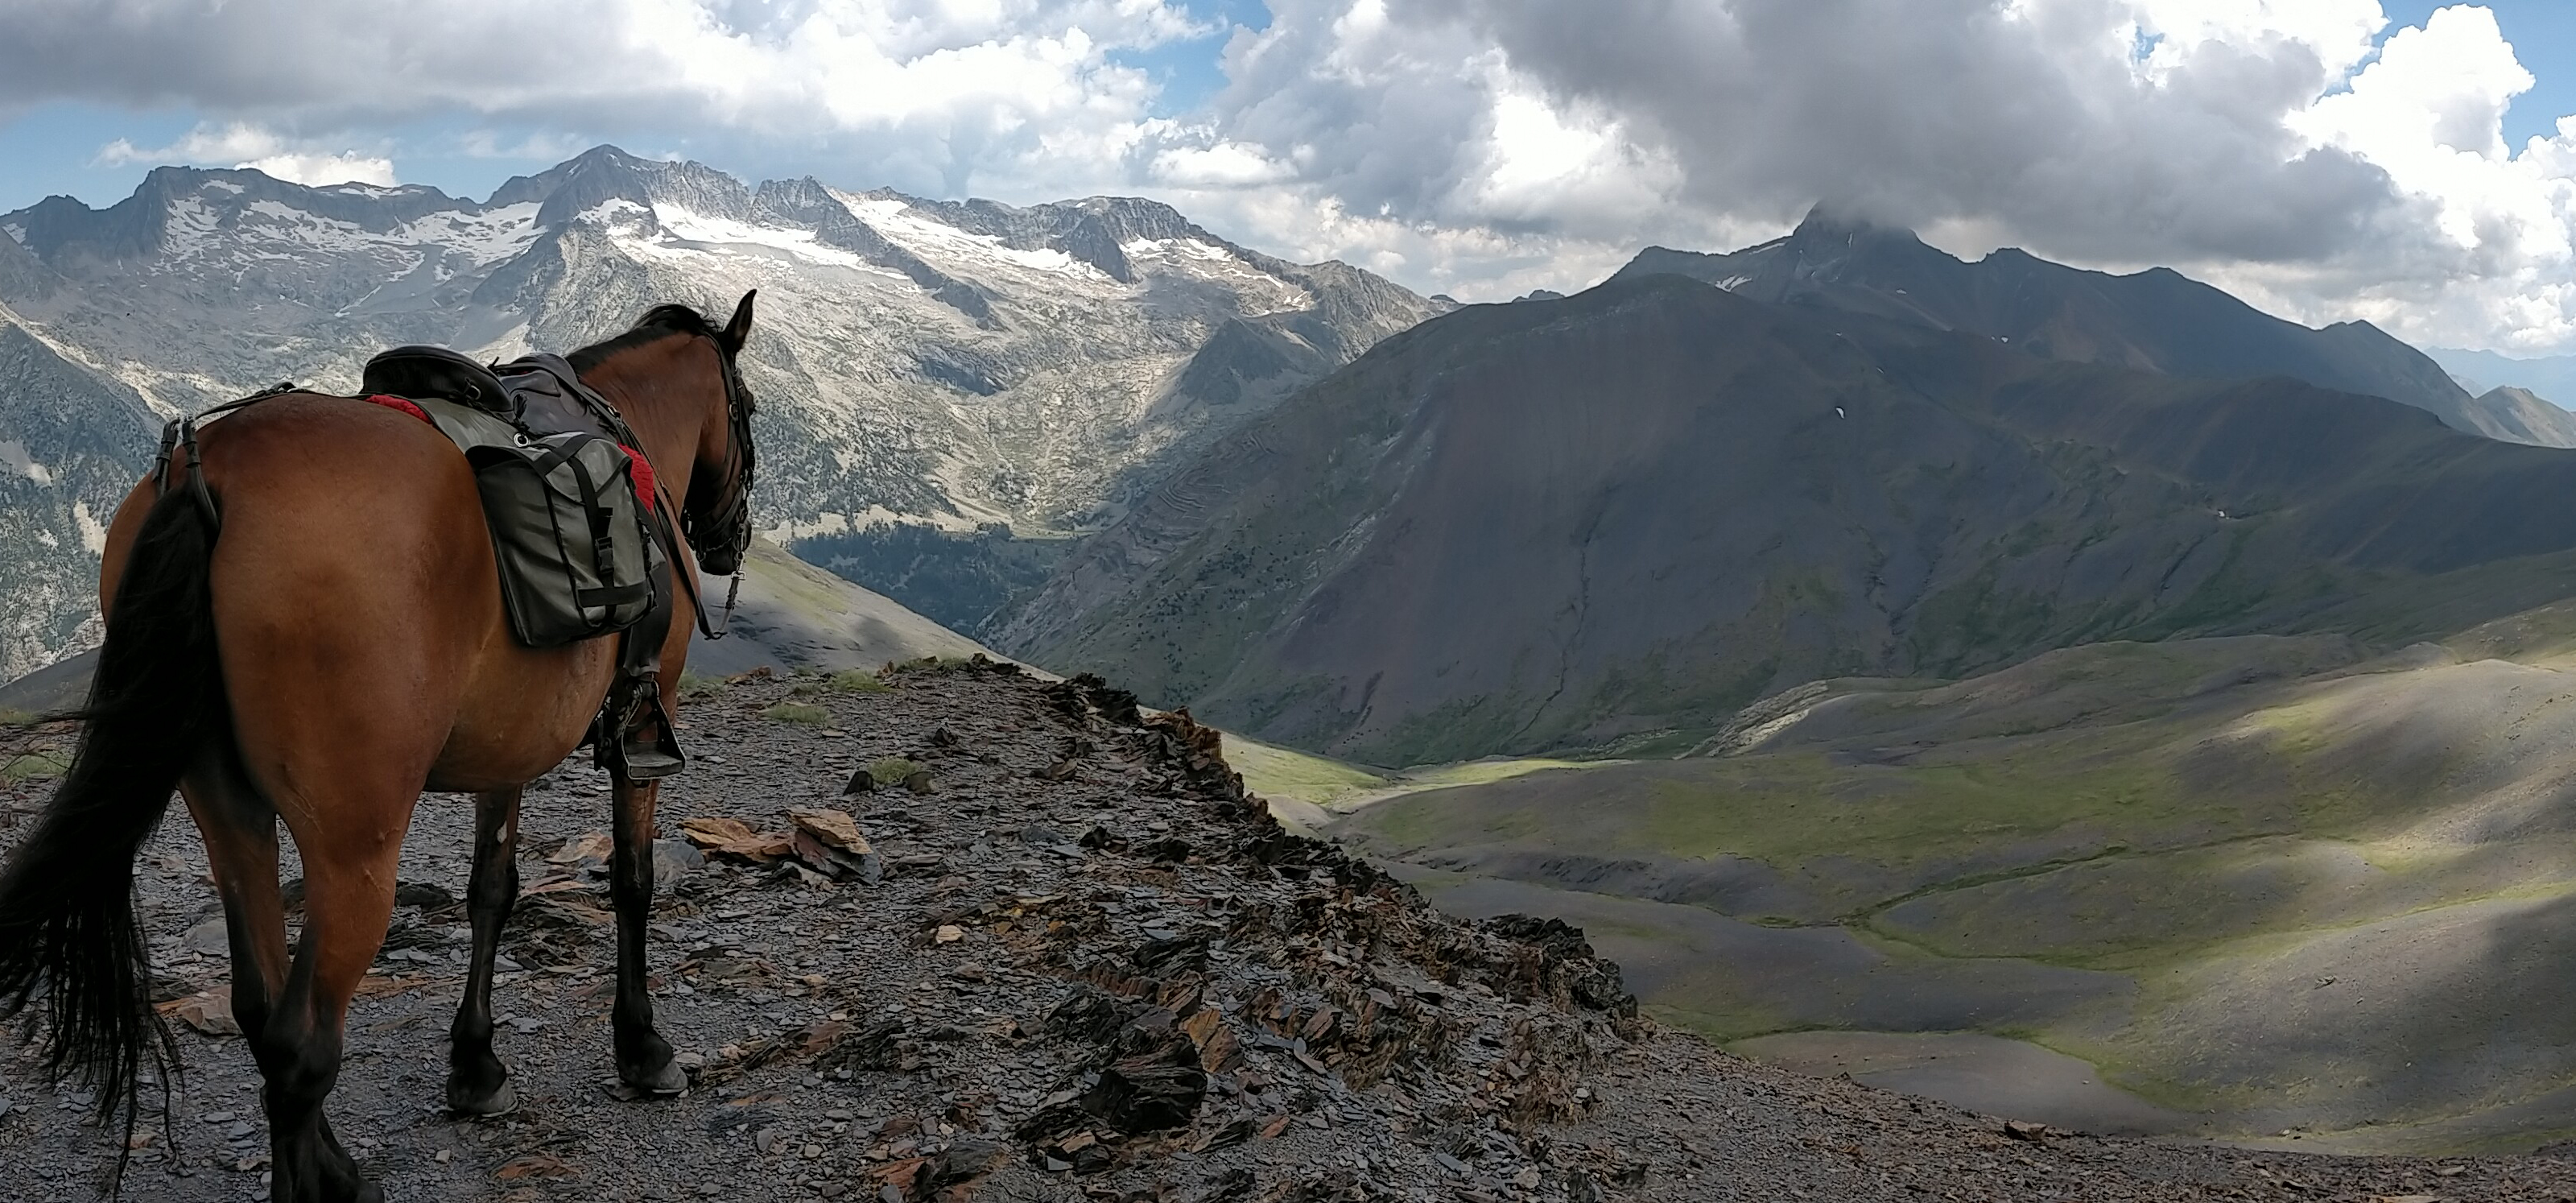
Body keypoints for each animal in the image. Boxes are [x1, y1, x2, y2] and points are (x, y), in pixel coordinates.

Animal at [0, 292, 760, 1203]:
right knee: (301, 1041)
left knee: (261, 1009)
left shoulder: (504, 749)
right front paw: (643, 1049)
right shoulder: (646, 718)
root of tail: (210, 468)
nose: (727, 539)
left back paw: (334, 1161)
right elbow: (633, 882)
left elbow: (491, 890)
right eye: (752, 412)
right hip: (354, 849)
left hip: (229, 817)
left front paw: (475, 1067)